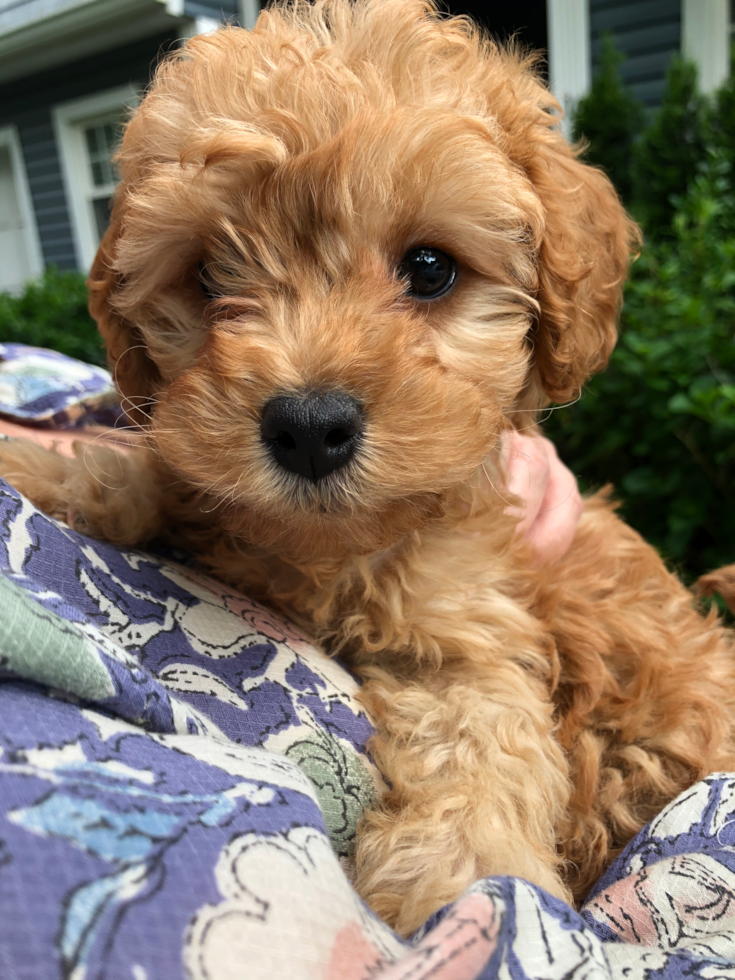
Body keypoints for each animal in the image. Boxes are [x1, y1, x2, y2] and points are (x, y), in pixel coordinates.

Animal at [2, 0, 732, 936]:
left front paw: (466, 878)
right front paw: (39, 469)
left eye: (429, 268)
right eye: (206, 275)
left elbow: (478, 736)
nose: (309, 427)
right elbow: (153, 479)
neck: (332, 551)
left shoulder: (470, 627)